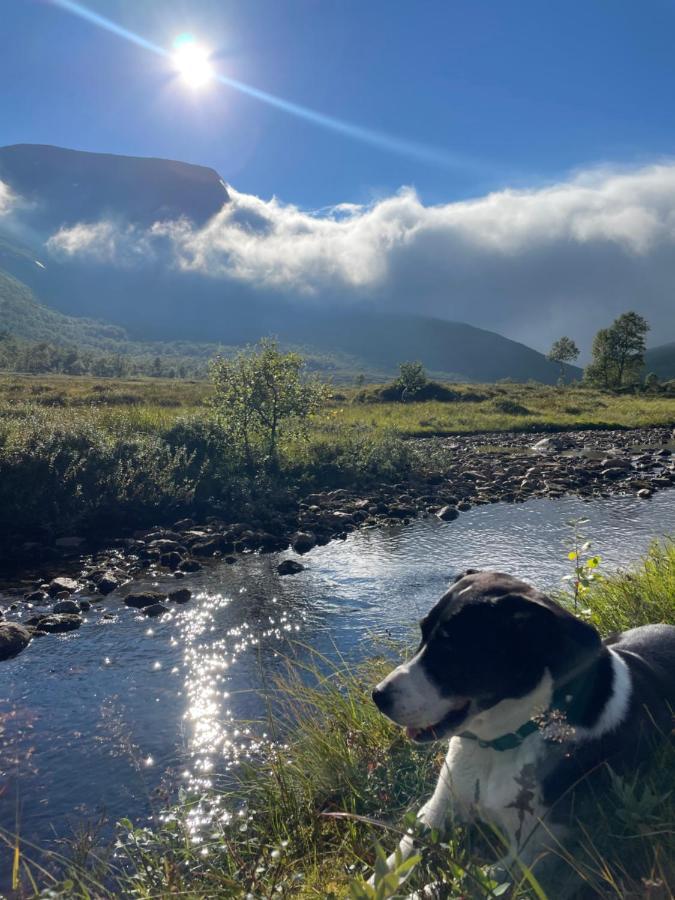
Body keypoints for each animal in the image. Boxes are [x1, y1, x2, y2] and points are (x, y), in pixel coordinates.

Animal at [370, 568, 675, 884]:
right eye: (422, 633)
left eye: (451, 648)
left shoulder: (535, 853)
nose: (378, 696)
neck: (502, 742)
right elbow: (398, 856)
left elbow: (467, 882)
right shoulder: (437, 808)